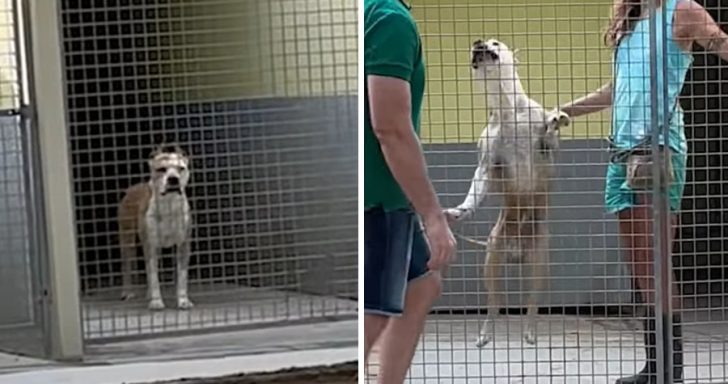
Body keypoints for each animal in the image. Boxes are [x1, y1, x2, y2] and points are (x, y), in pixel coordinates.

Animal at [116, 142, 192, 310]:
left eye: (181, 168)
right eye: (161, 169)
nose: (173, 179)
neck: (169, 205)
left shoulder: (183, 245)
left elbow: (182, 276)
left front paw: (183, 300)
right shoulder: (150, 245)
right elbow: (153, 276)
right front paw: (156, 301)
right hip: (127, 239)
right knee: (127, 265)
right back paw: (127, 292)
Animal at [446, 39, 572, 348]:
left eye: (495, 43)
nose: (477, 43)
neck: (508, 109)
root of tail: (517, 252)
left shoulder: (547, 147)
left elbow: (548, 134)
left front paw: (557, 119)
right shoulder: (486, 162)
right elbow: (478, 182)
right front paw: (462, 209)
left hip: (539, 264)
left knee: (532, 304)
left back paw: (529, 330)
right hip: (492, 261)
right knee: (494, 304)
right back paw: (485, 333)